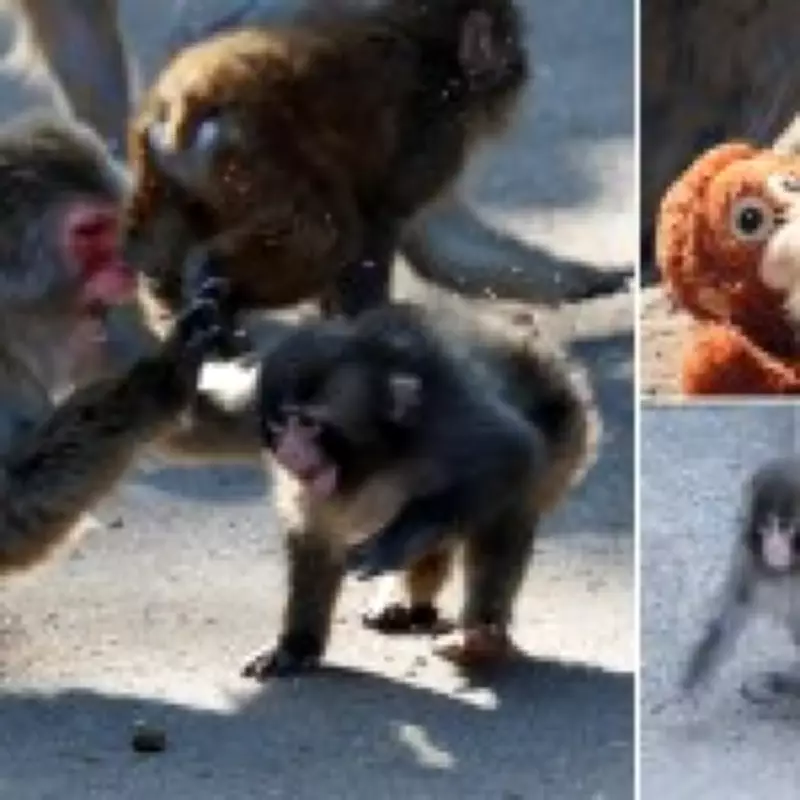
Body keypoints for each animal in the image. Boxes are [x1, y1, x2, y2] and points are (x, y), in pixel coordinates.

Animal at [240, 301, 598, 678]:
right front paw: (296, 644)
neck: (378, 458)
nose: (289, 452)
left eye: (309, 424)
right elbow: (314, 536)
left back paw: (481, 637)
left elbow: (512, 451)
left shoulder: (444, 416)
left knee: (507, 505)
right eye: (281, 423)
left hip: (567, 430)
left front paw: (395, 540)